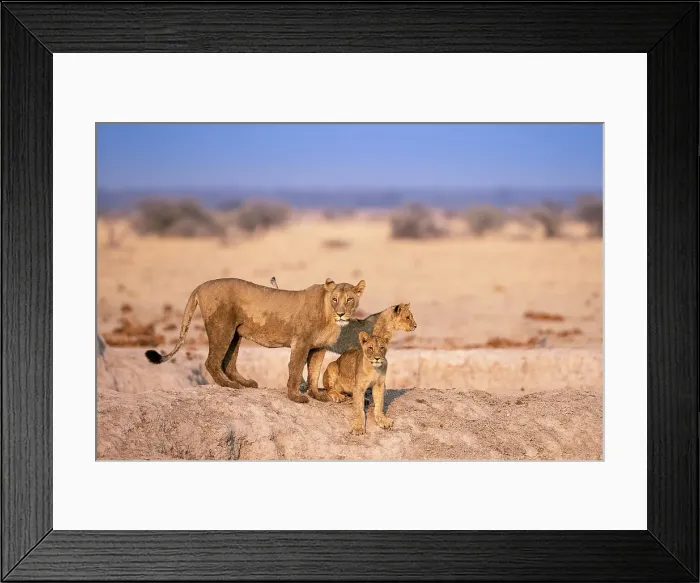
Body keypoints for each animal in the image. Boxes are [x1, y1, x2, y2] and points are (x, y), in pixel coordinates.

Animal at [145, 277, 366, 403]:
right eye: (335, 299)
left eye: (350, 300)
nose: (341, 314)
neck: (329, 316)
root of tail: (201, 285)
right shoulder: (301, 342)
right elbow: (295, 369)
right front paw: (295, 397)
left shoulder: (319, 347)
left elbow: (314, 372)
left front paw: (318, 395)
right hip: (222, 328)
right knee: (212, 362)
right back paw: (229, 385)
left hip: (235, 333)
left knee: (228, 363)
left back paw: (246, 382)